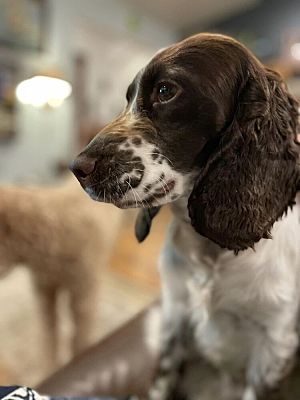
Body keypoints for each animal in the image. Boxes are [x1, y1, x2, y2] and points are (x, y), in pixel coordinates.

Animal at [71, 34, 300, 400]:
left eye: (165, 90)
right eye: (128, 98)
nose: (77, 168)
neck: (214, 253)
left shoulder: (273, 348)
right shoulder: (174, 319)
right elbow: (160, 384)